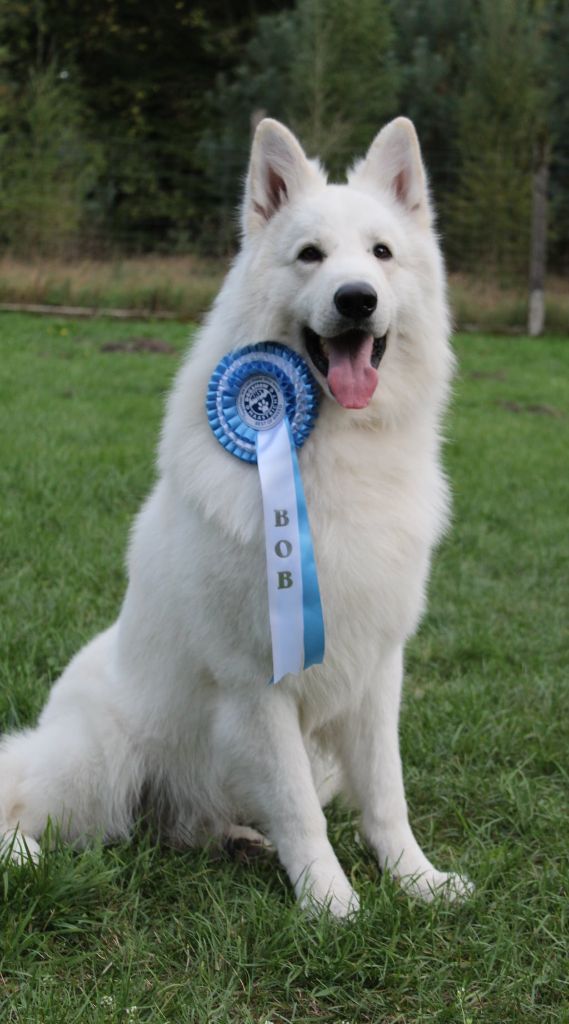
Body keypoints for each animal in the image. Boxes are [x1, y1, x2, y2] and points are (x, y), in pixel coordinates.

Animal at [0, 117, 471, 916]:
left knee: (184, 826)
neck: (328, 455)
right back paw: (28, 855)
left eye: (380, 254)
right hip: (98, 764)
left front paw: (416, 880)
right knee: (28, 801)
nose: (356, 299)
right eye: (311, 255)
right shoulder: (258, 682)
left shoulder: (378, 671)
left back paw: (236, 840)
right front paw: (330, 903)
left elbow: (386, 795)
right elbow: (300, 809)